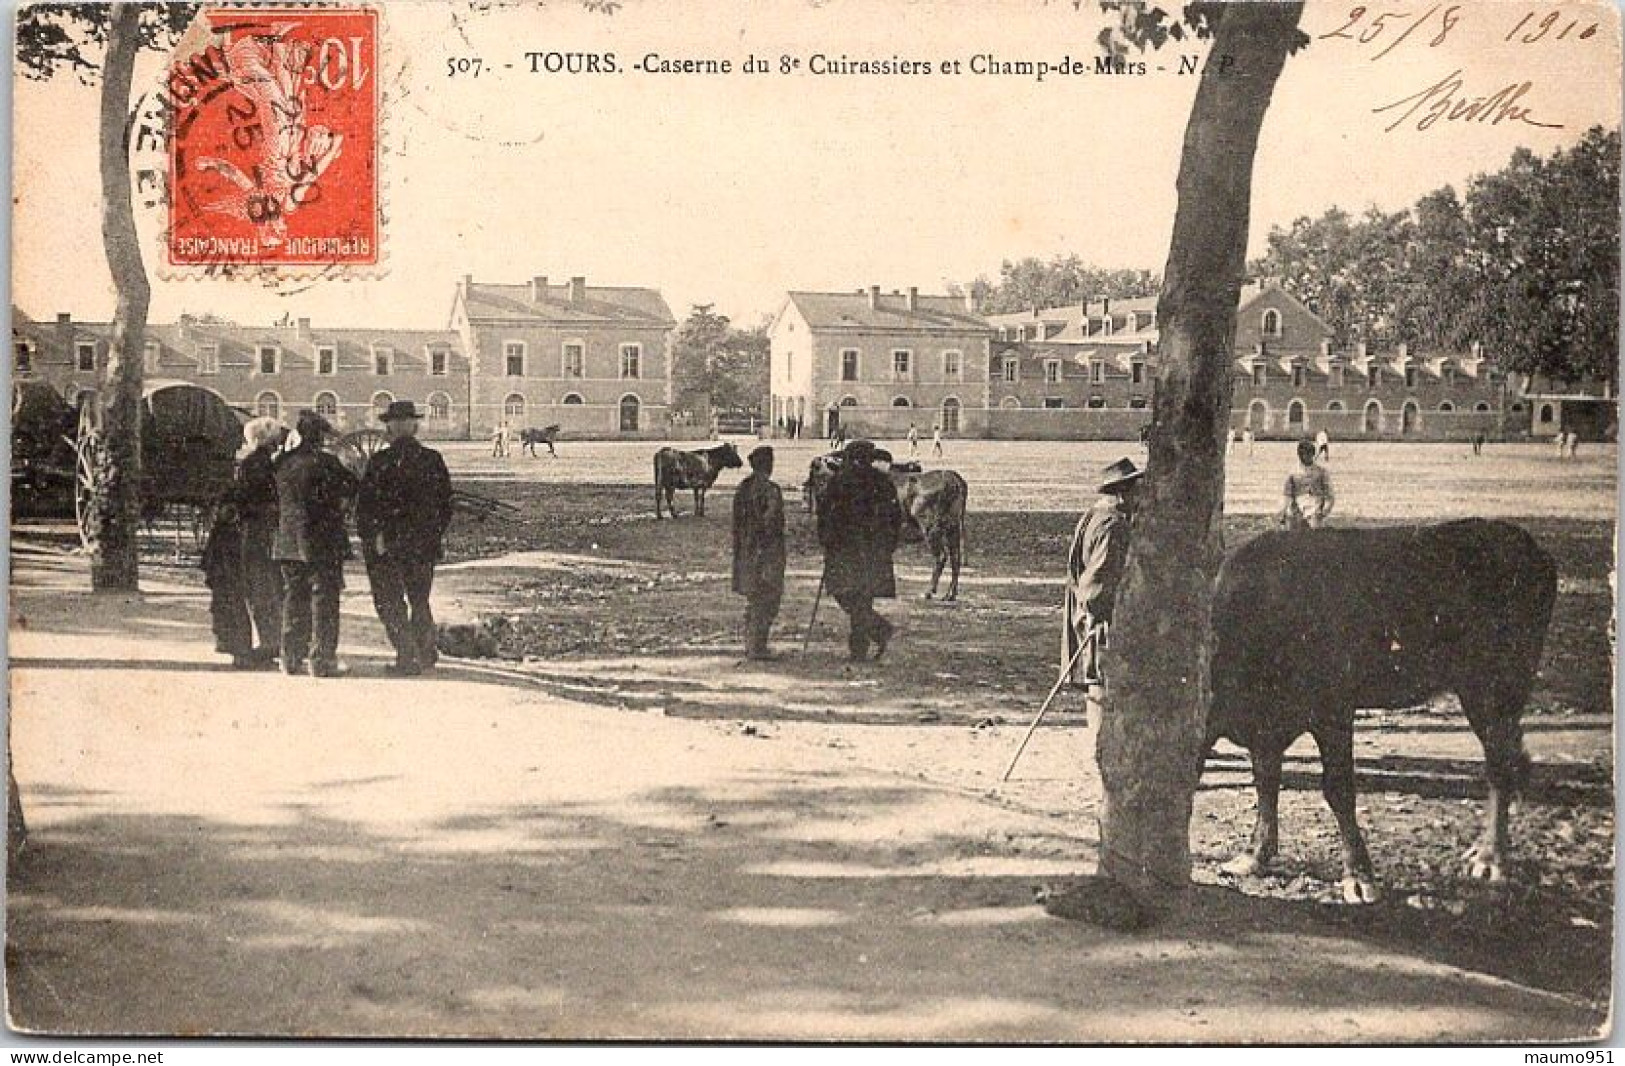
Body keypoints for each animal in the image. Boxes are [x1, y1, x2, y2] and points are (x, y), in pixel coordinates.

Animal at [802, 448, 962, 598]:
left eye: (819, 471)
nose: (808, 487)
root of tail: (952, 478)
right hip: (953, 529)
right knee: (956, 558)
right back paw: (950, 595)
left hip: (931, 529)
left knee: (941, 557)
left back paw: (929, 592)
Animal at [1209, 520, 1560, 903]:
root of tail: (1533, 550)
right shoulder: (1265, 728)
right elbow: (1266, 782)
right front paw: (1253, 856)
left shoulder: (1333, 709)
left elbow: (1338, 789)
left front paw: (1358, 876)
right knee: (1515, 756)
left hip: (1494, 687)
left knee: (1500, 764)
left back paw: (1490, 858)